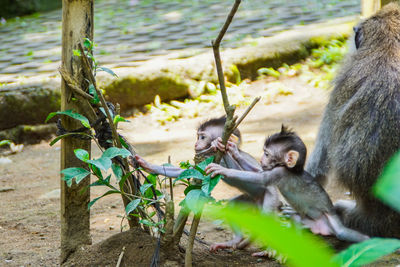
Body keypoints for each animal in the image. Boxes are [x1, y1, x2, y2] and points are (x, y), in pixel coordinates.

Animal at [206, 126, 368, 244]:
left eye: (266, 154)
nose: (261, 159)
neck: (292, 169)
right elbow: (258, 171)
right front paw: (230, 149)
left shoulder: (280, 173)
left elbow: (262, 178)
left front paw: (223, 169)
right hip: (311, 221)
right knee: (297, 219)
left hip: (333, 221)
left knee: (343, 233)